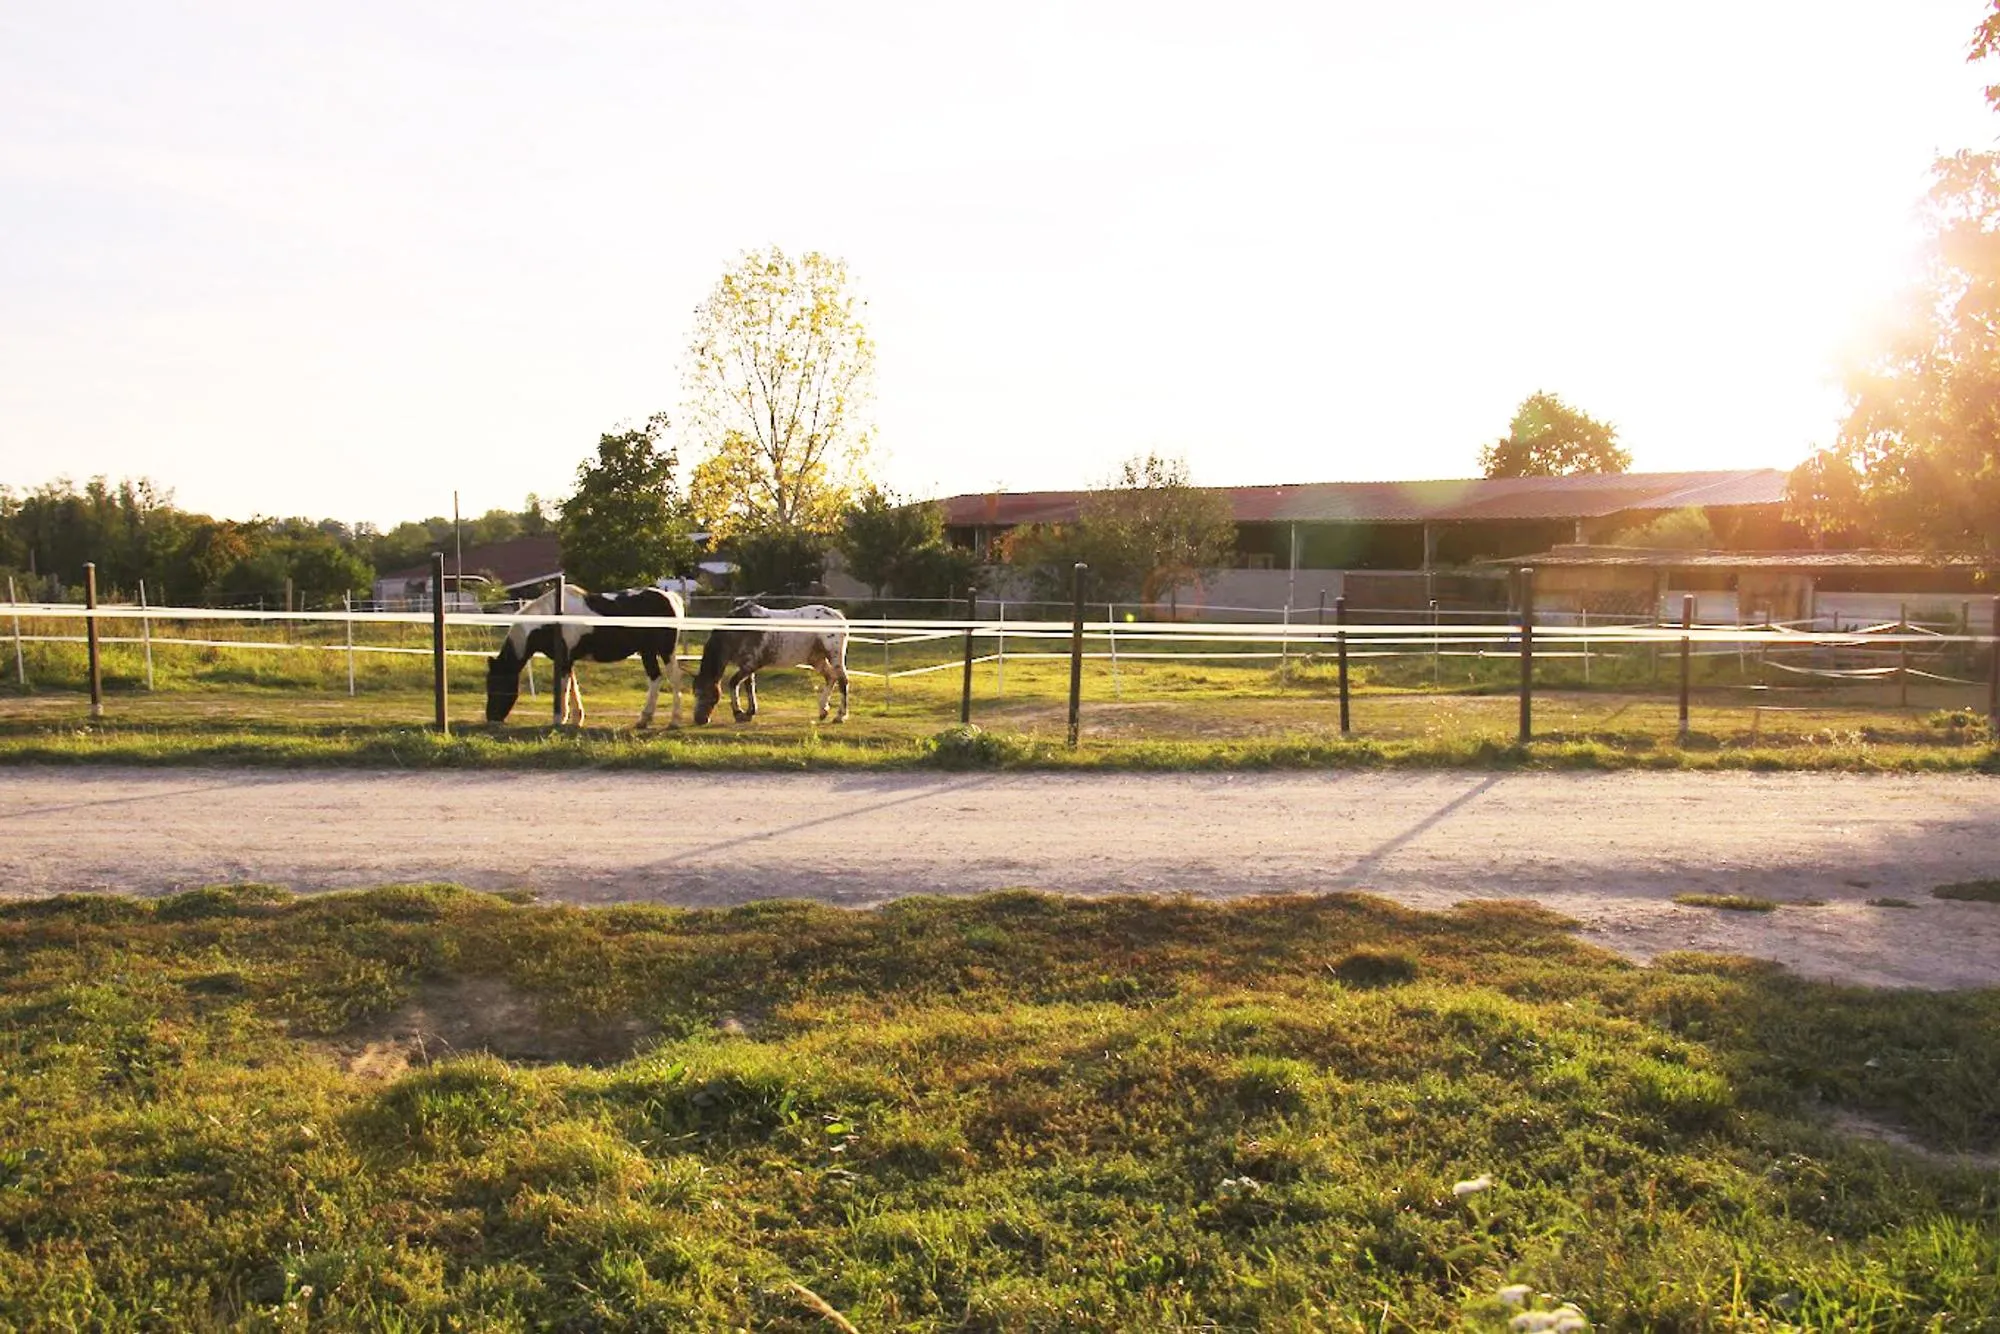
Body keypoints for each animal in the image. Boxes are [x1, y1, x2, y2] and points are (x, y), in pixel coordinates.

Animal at [486, 584, 684, 728]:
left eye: (497, 684)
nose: (491, 718)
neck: (551, 621)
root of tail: (670, 598)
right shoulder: (568, 660)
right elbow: (573, 686)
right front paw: (576, 719)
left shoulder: (563, 661)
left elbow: (563, 688)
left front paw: (559, 719)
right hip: (647, 652)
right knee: (655, 678)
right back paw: (644, 719)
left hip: (665, 651)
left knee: (674, 678)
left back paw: (675, 720)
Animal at [692, 602, 850, 725]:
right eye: (695, 693)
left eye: (705, 694)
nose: (700, 720)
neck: (740, 631)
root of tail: (837, 615)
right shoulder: (746, 666)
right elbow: (749, 686)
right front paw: (750, 712)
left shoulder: (750, 664)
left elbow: (733, 683)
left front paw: (739, 713)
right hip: (816, 659)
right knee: (831, 677)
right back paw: (823, 711)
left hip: (834, 656)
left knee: (842, 680)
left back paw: (840, 716)